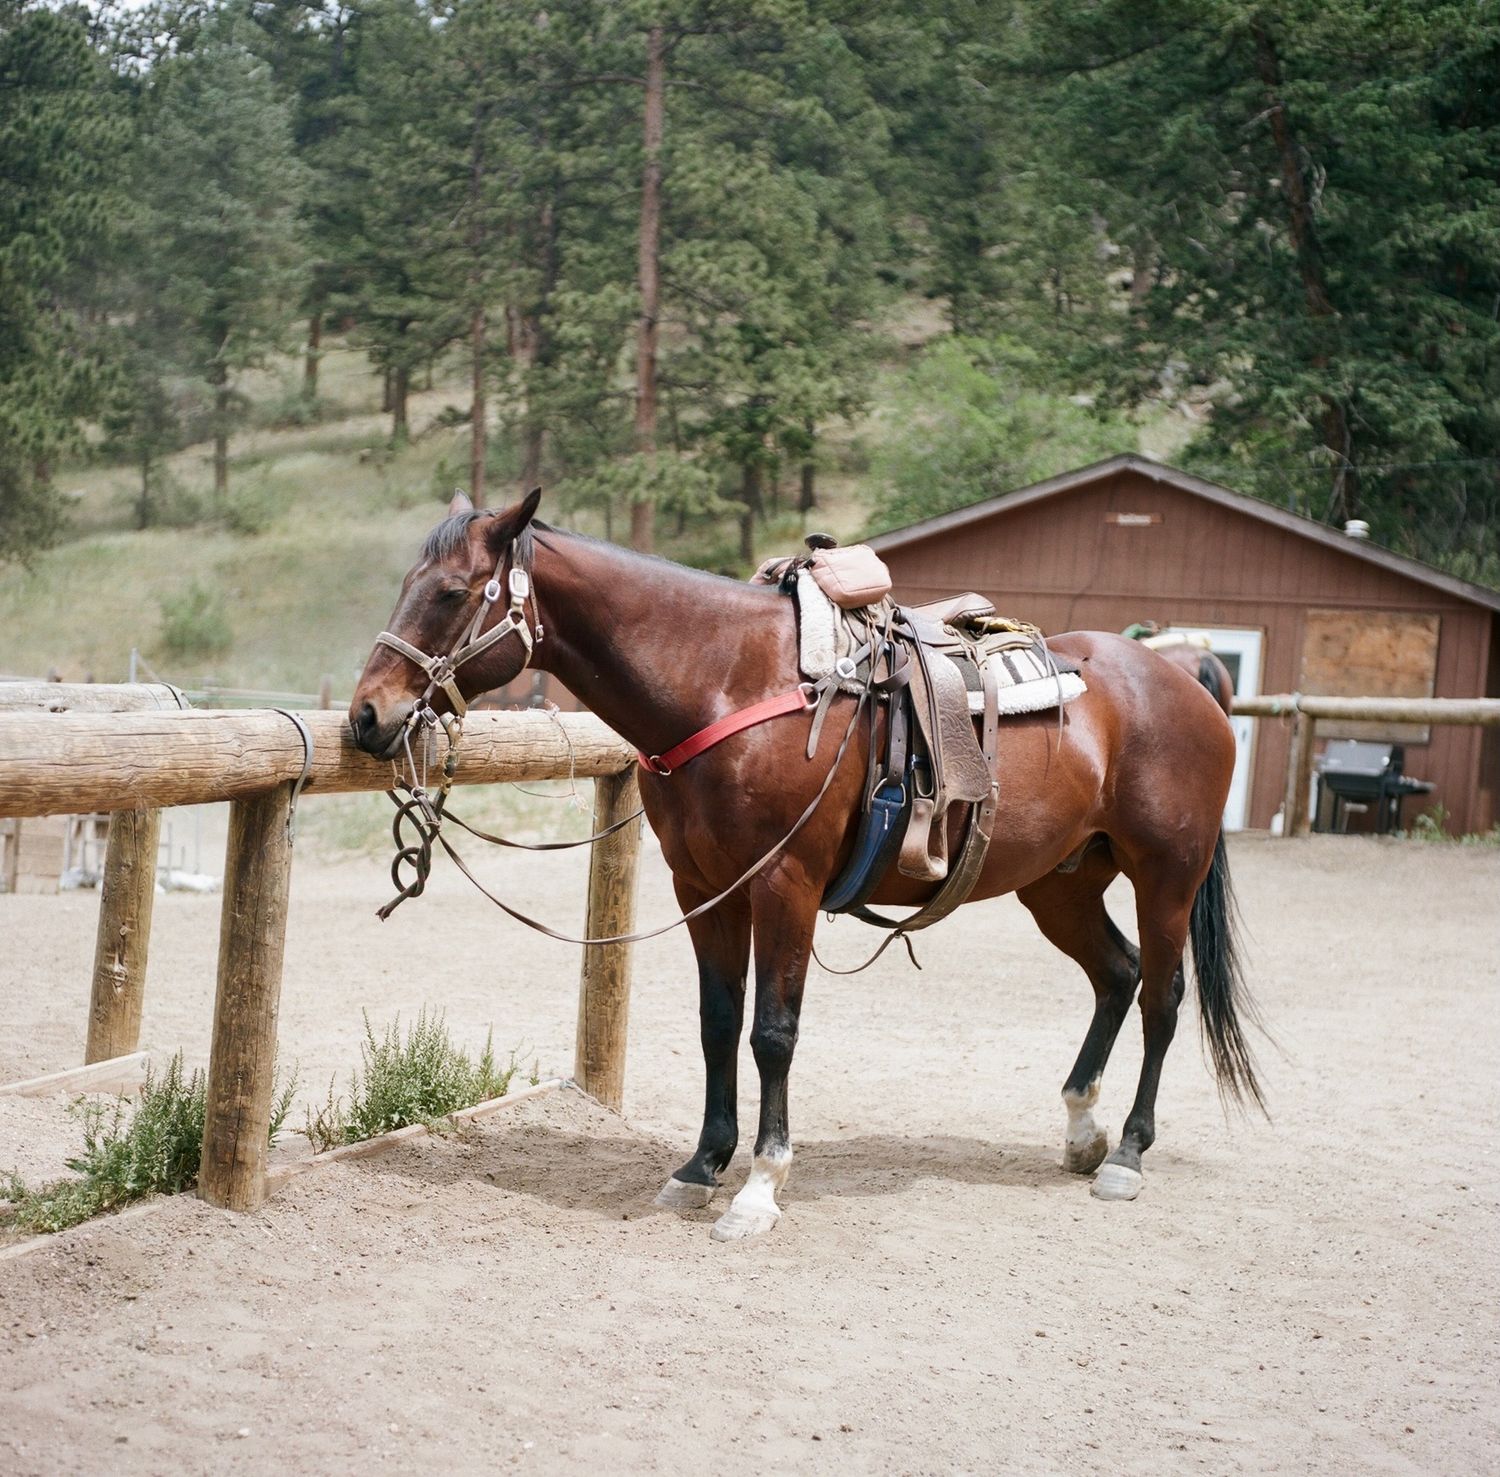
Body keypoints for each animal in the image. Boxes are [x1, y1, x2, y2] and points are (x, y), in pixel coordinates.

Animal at [350, 489, 1262, 1241]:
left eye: (452, 592)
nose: (366, 714)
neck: (728, 682)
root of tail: (1189, 684)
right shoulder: (704, 888)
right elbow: (719, 1022)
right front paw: (701, 1167)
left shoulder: (783, 885)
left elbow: (772, 1032)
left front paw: (760, 1187)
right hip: (1059, 882)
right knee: (1116, 974)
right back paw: (1081, 1132)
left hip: (1165, 876)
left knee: (1161, 997)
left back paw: (1129, 1153)